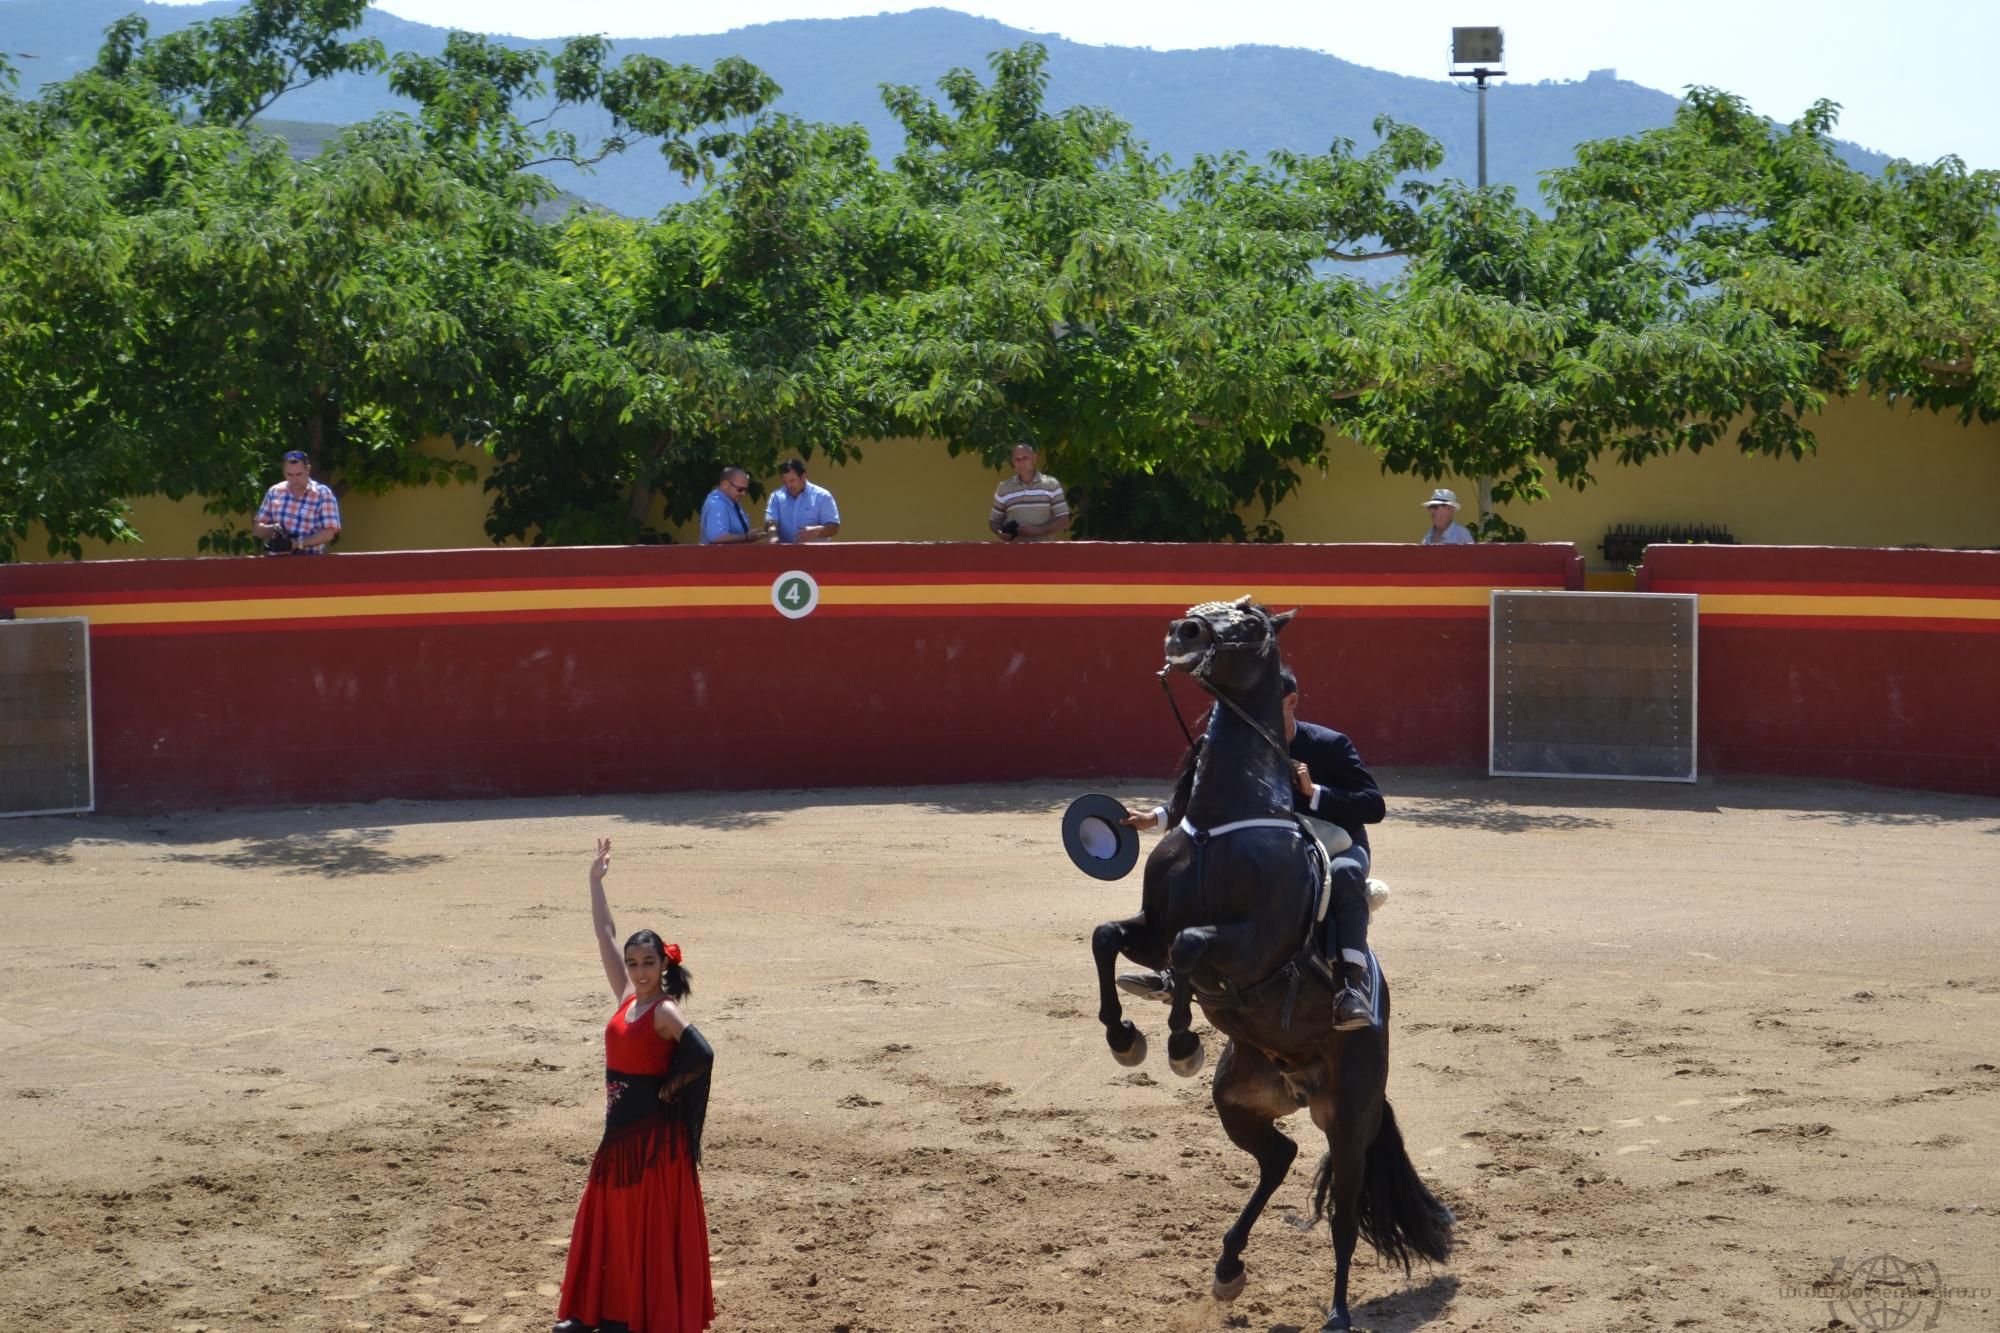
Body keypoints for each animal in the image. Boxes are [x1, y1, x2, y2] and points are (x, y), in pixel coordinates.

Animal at [1096, 592, 1456, 1328]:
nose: (1184, 632)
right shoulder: (1153, 926)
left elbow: (1192, 945)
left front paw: (1178, 1040)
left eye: (1255, 624)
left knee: (1344, 1213)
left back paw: (1338, 1311)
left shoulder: (1253, 942)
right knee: (1279, 1156)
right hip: (1239, 1100)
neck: (1225, 817)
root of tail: (1303, 1082)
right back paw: (1228, 1267)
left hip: (1349, 1118)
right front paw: (1126, 1035)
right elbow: (1109, 934)